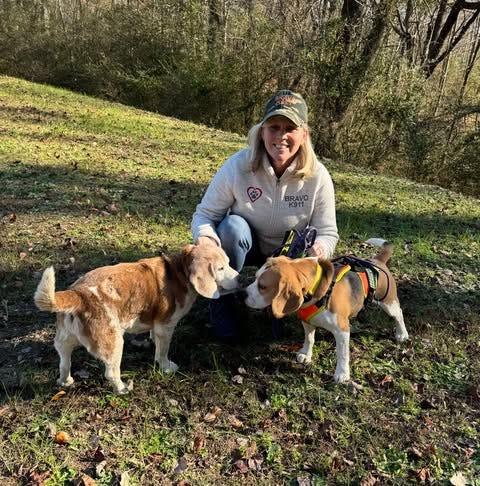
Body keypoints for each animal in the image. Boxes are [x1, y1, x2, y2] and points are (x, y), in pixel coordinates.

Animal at [34, 245, 240, 392]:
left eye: (229, 263)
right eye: (220, 268)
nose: (241, 279)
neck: (179, 271)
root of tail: (78, 293)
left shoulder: (156, 325)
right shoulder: (165, 327)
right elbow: (162, 351)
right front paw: (166, 366)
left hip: (64, 341)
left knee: (64, 362)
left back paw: (65, 381)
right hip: (115, 344)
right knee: (111, 373)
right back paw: (122, 389)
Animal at [248, 239, 408, 384]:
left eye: (263, 286)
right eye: (255, 278)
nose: (243, 294)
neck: (317, 291)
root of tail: (377, 260)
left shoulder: (341, 331)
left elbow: (342, 354)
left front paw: (342, 373)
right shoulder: (307, 322)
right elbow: (309, 339)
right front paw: (306, 354)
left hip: (388, 303)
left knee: (399, 314)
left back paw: (402, 334)